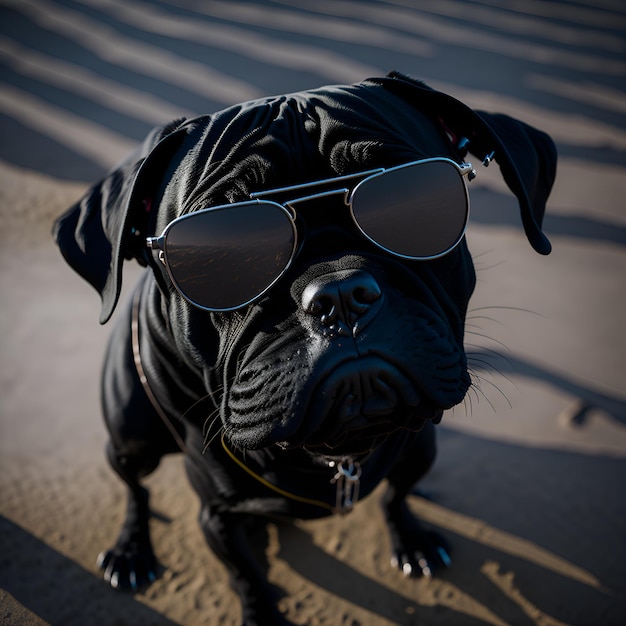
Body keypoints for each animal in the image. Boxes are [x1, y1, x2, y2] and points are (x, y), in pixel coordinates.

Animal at [52, 74, 552, 624]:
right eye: (221, 254)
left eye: (415, 208)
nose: (340, 293)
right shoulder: (217, 517)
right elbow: (245, 575)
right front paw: (261, 613)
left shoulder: (417, 450)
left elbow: (396, 497)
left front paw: (412, 538)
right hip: (131, 439)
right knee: (135, 487)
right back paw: (131, 549)